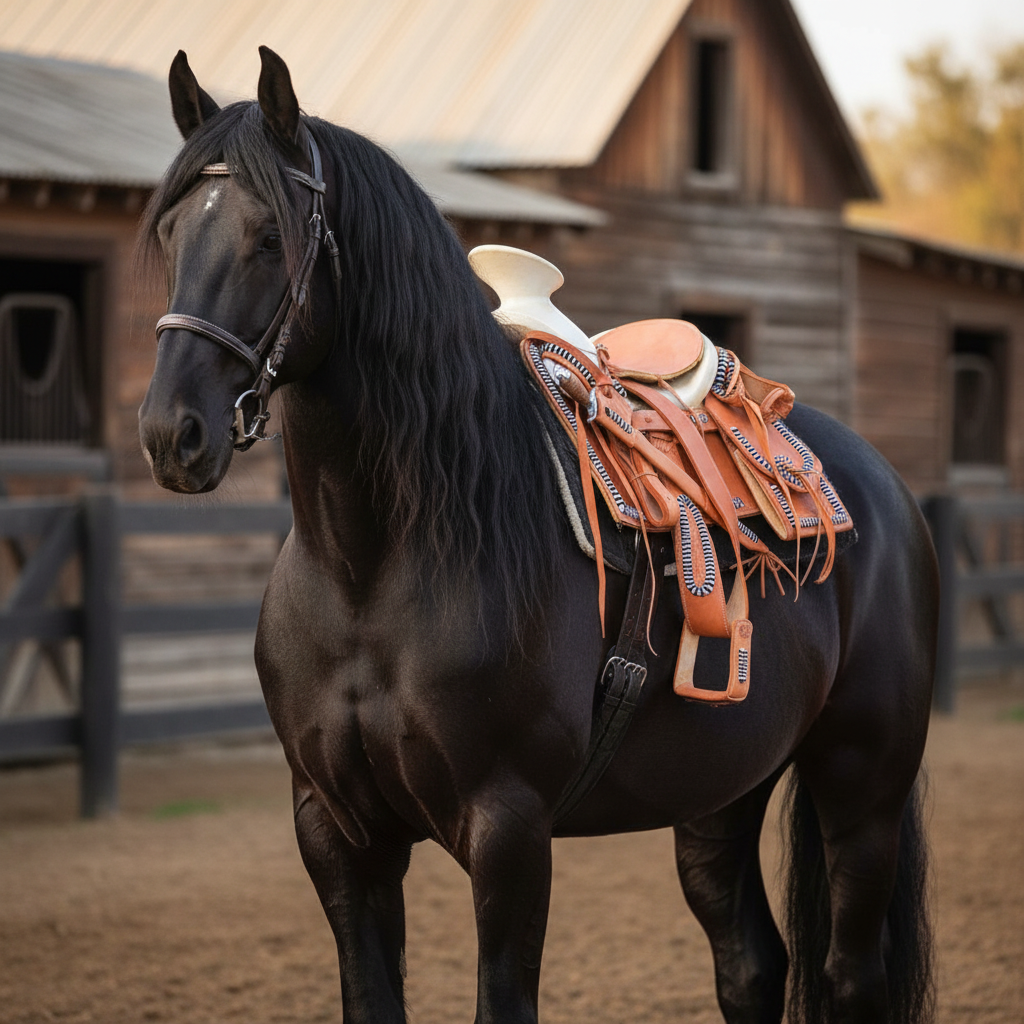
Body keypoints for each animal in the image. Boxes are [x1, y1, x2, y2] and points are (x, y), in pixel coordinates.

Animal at [138, 47, 937, 1024]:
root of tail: (881, 486)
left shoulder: (509, 830)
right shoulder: (337, 832)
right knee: (751, 965)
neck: (375, 567)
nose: (173, 433)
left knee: (850, 976)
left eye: (268, 238)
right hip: (721, 792)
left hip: (862, 787)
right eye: (171, 233)